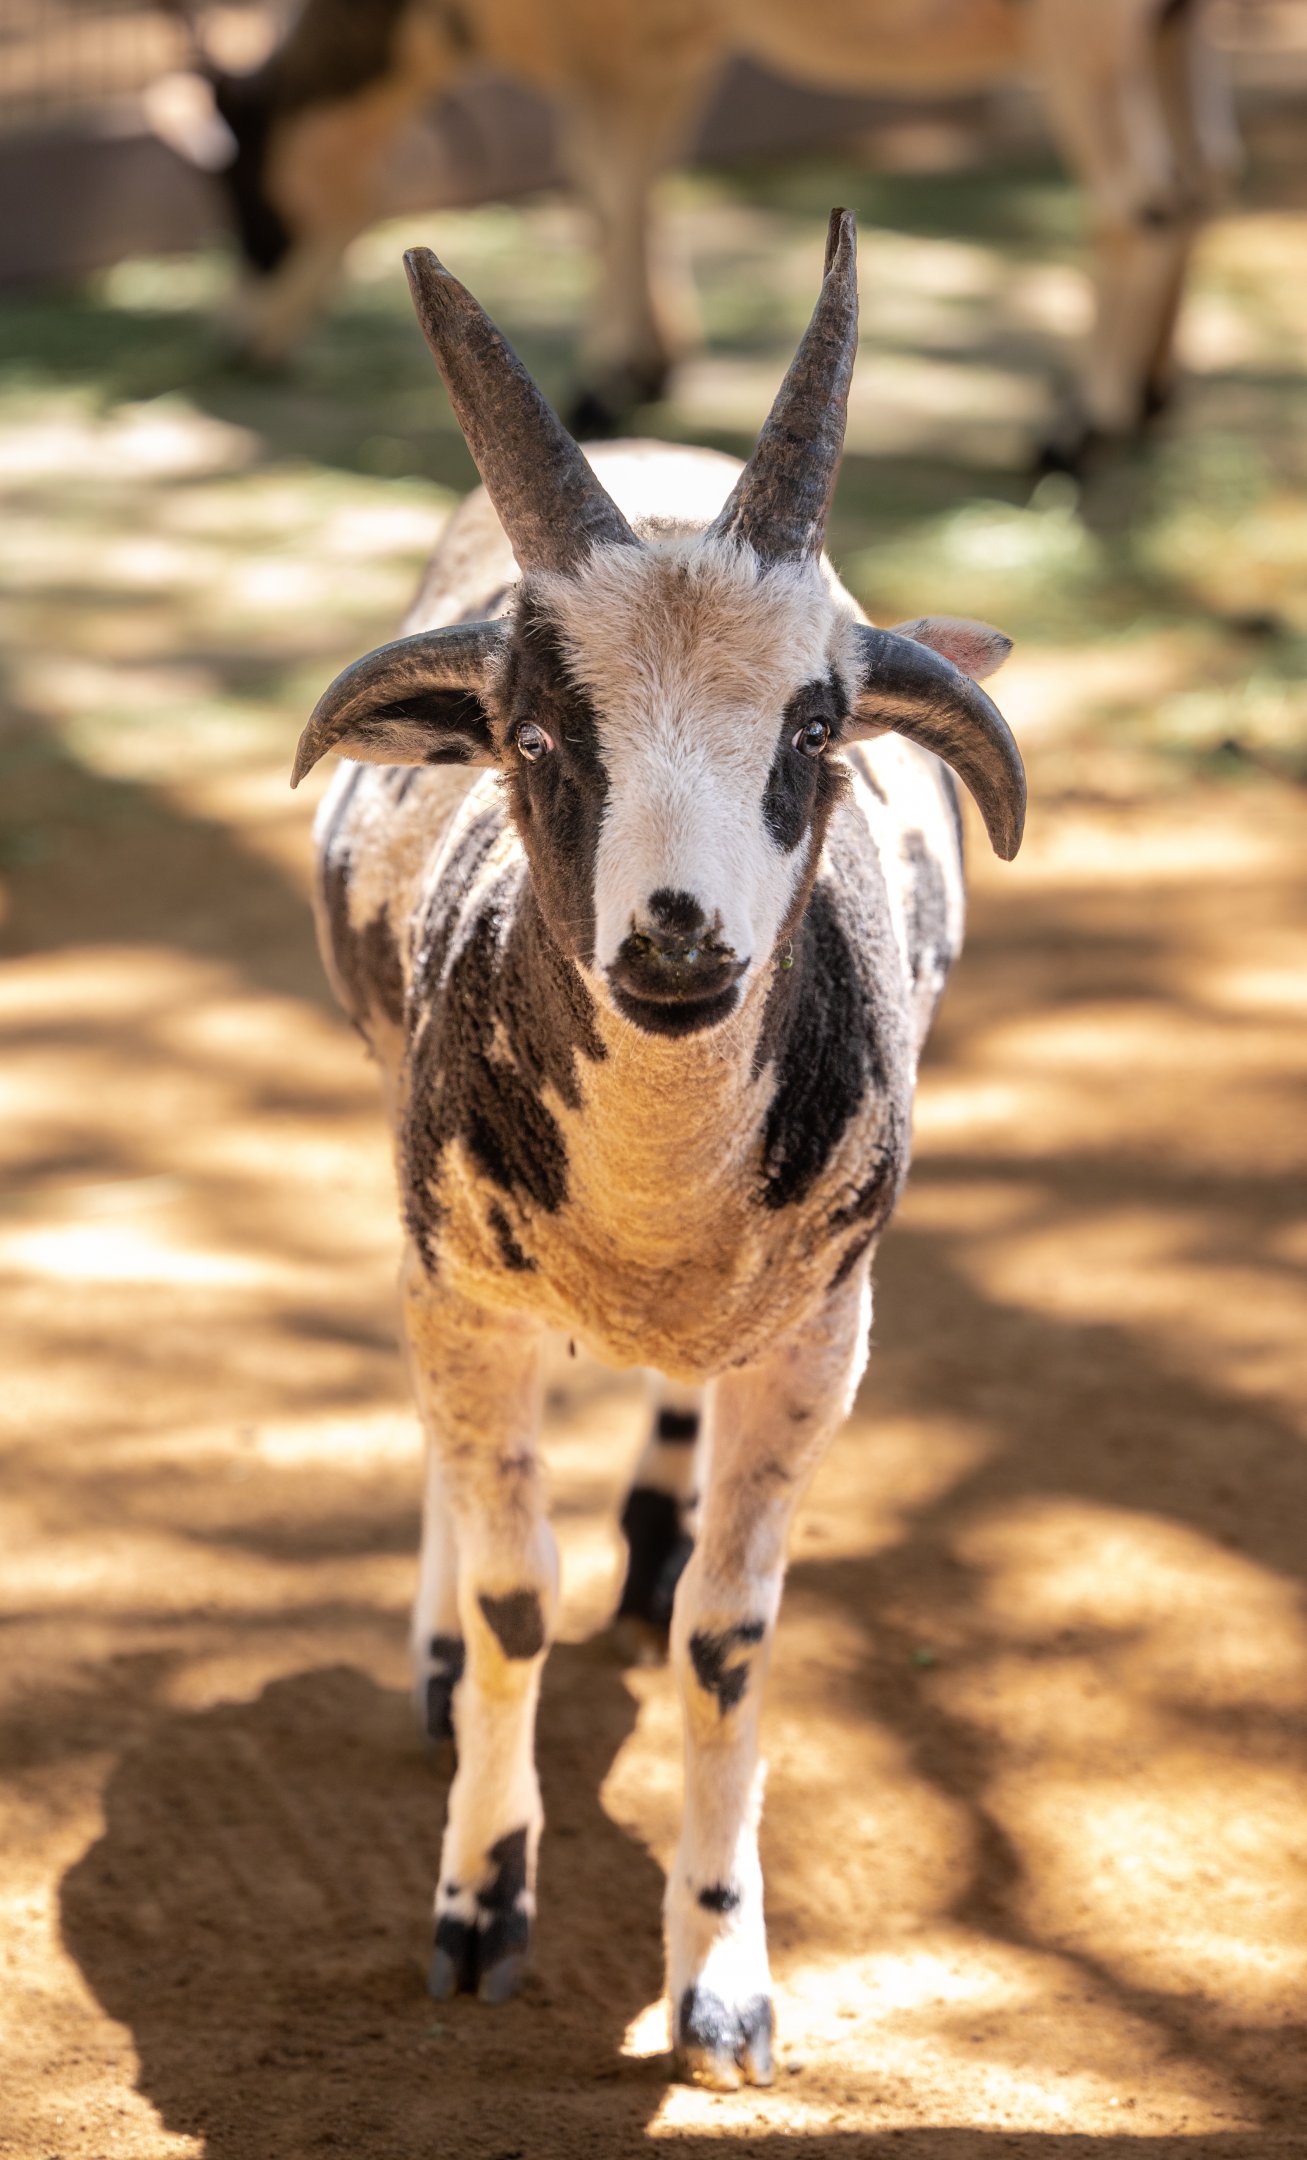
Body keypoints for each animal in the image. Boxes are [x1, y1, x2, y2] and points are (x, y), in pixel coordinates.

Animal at [196, 0, 1238, 461]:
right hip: (1171, 29)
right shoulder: (677, 38)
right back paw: (1149, 397)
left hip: (1084, 34)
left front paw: (608, 385)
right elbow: (640, 177)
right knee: (1199, 182)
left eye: (244, 192)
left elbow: (606, 181)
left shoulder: (605, 43)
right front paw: (655, 364)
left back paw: (1075, 428)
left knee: (1142, 198)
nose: (242, 344)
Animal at [292, 207, 1025, 2088]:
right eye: (539, 735)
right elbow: (507, 1603)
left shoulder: (820, 1337)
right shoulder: (462, 1283)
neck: (648, 1212)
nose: (677, 937)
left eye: (814, 729)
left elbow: (728, 1643)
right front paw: (480, 1902)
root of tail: (674, 471)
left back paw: (645, 1532)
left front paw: (722, 1981)